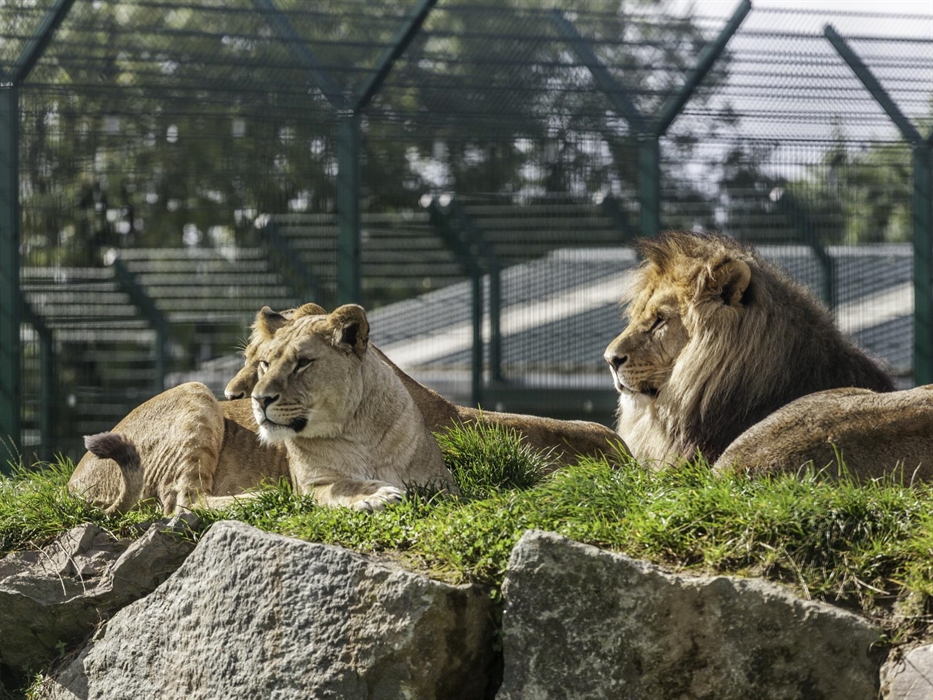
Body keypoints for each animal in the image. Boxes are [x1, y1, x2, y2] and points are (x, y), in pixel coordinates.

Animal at [249, 304, 458, 509]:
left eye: (303, 362)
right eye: (265, 364)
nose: (259, 399)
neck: (358, 430)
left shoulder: (441, 482)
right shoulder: (311, 486)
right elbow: (344, 485)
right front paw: (379, 495)